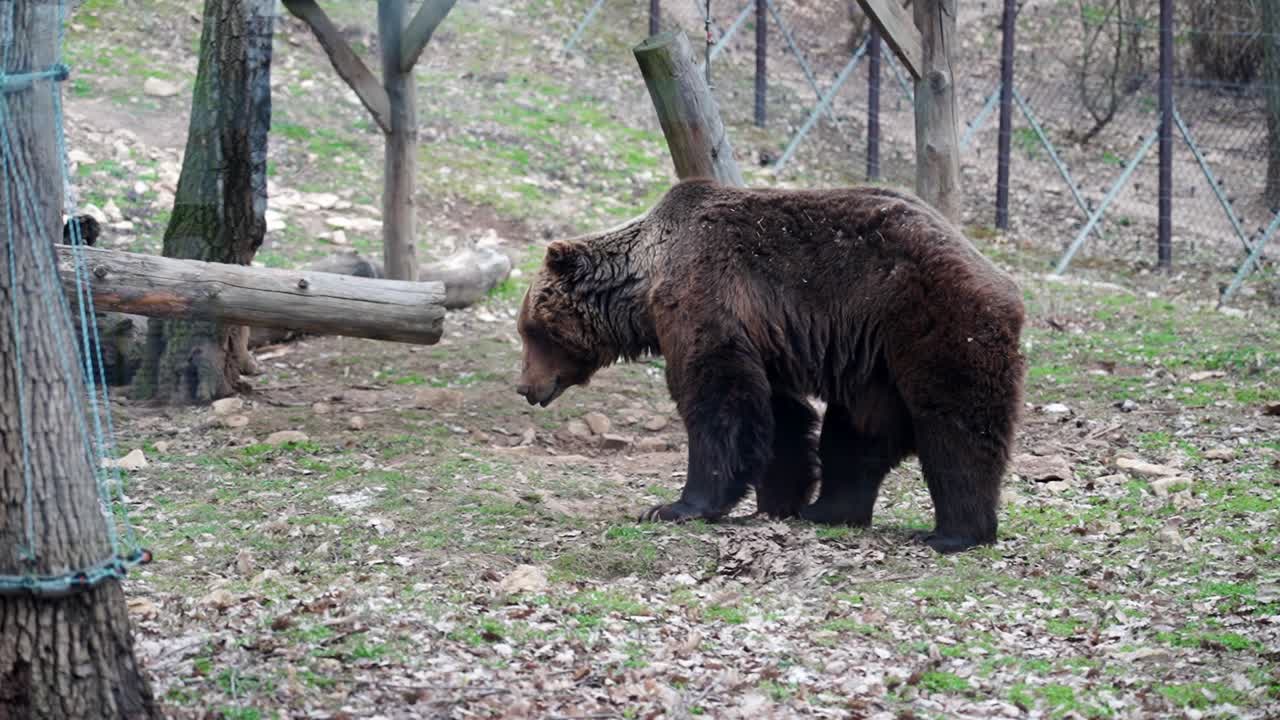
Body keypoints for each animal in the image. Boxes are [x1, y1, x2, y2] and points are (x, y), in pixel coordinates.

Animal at [516, 178, 1026, 553]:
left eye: (530, 330)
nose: (524, 387)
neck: (645, 284)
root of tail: (1001, 278)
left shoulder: (703, 297)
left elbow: (717, 402)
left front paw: (677, 506)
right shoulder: (764, 337)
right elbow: (778, 416)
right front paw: (776, 501)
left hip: (932, 320)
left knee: (955, 426)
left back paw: (954, 533)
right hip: (875, 363)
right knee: (858, 432)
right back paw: (829, 509)